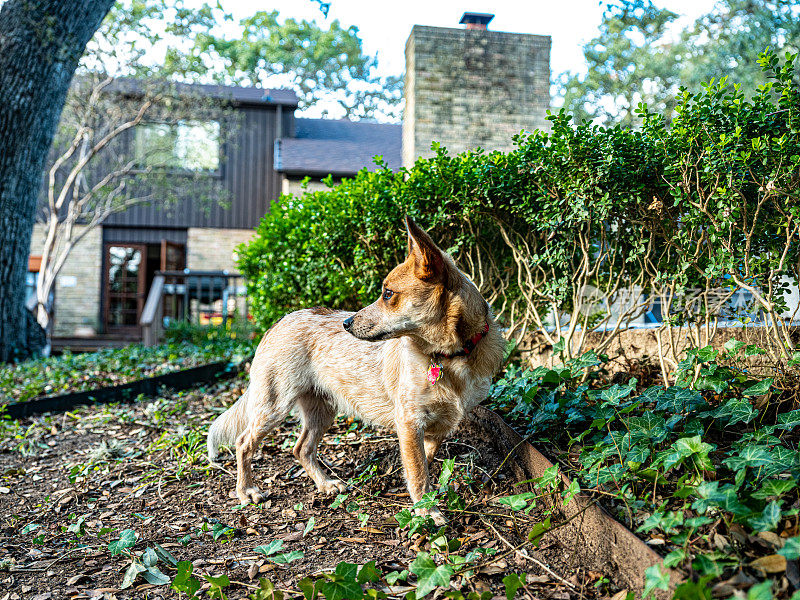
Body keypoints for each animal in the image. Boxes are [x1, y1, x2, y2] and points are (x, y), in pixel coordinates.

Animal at [208, 218, 506, 524]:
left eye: (388, 294)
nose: (347, 323)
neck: (449, 356)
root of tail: (280, 321)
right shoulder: (409, 422)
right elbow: (418, 473)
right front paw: (427, 512)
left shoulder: (437, 428)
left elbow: (425, 463)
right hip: (273, 405)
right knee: (244, 442)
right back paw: (246, 491)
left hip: (321, 411)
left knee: (301, 448)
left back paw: (325, 484)